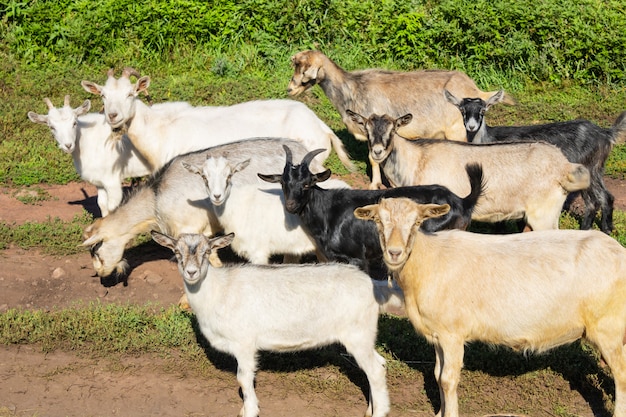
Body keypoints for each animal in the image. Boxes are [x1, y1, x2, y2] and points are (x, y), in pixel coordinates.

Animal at [150, 231, 390, 416]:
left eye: (207, 252)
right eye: (176, 252)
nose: (191, 272)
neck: (219, 290)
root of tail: (372, 284)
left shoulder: (244, 343)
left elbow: (243, 379)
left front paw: (250, 410)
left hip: (357, 335)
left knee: (375, 371)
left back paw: (378, 412)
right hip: (364, 336)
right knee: (379, 364)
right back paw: (371, 409)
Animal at [258, 145, 482, 274]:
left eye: (307, 184)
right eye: (283, 183)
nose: (291, 205)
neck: (327, 212)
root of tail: (462, 202)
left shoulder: (356, 258)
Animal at [356, 197, 626, 416]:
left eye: (416, 223)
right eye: (379, 222)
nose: (394, 253)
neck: (426, 262)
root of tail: (619, 251)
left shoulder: (452, 334)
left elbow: (448, 379)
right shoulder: (438, 334)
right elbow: (436, 375)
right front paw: (440, 412)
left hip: (609, 327)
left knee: (621, 375)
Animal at [444, 89, 624, 232]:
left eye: (483, 110)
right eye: (462, 109)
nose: (471, 126)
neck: (487, 138)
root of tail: (605, 133)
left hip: (589, 166)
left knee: (599, 199)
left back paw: (601, 229)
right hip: (593, 169)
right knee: (599, 199)